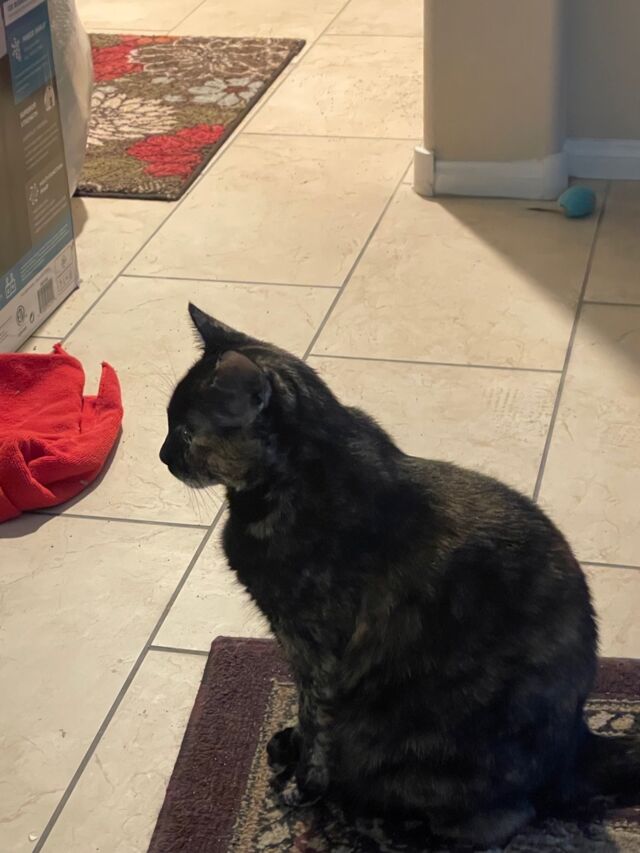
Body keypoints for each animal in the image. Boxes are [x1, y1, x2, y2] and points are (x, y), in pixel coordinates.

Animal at [160, 303, 640, 848]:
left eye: (185, 433)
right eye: (168, 423)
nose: (162, 456)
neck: (296, 479)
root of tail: (581, 743)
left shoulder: (317, 650)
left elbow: (317, 717)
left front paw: (304, 784)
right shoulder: (296, 650)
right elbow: (305, 709)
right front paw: (290, 747)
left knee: (502, 821)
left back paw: (383, 826)